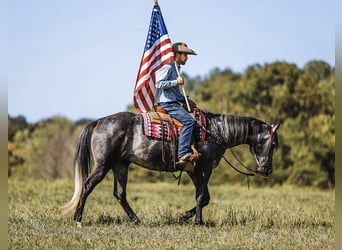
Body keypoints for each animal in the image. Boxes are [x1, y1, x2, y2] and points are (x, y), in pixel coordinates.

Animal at [62, 111, 280, 227]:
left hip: (120, 165)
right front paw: (198, 222)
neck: (216, 131)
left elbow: (204, 198)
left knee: (120, 193)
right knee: (88, 186)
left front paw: (182, 217)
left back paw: (136, 220)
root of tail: (99, 121)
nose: (267, 170)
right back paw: (78, 219)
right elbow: (202, 197)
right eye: (273, 143)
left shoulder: (194, 170)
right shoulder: (204, 168)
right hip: (103, 164)